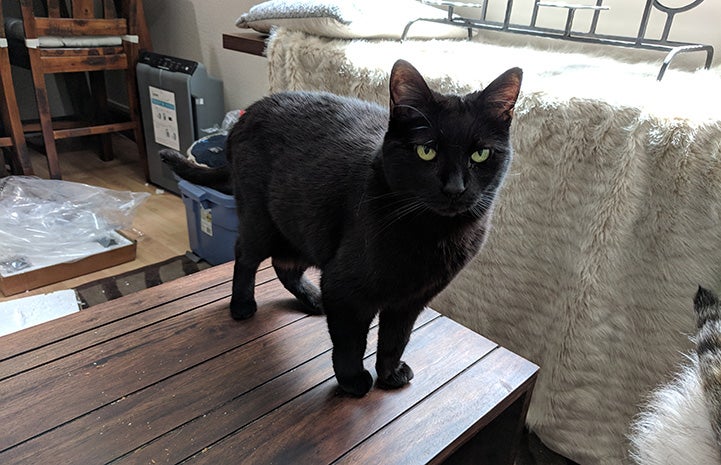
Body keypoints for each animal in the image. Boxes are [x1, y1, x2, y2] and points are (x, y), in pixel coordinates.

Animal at [162, 59, 520, 396]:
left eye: (480, 154)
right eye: (426, 150)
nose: (455, 188)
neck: (432, 235)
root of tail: (247, 113)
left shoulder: (410, 301)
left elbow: (395, 340)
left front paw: (389, 375)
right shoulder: (345, 288)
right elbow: (351, 342)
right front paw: (353, 382)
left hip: (304, 229)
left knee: (284, 265)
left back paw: (313, 299)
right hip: (261, 221)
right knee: (245, 257)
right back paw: (242, 305)